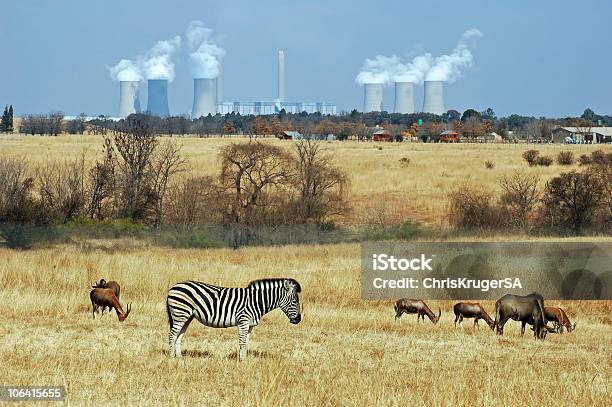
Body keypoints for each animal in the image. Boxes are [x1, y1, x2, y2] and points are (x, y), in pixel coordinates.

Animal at [166, 278, 302, 362]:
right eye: (295, 301)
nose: (298, 320)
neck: (256, 301)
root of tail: (174, 287)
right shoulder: (243, 321)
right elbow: (242, 342)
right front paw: (242, 361)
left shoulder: (250, 324)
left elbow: (246, 342)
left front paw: (245, 360)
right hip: (180, 314)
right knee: (172, 335)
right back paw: (171, 358)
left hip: (187, 317)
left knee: (179, 335)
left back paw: (180, 358)